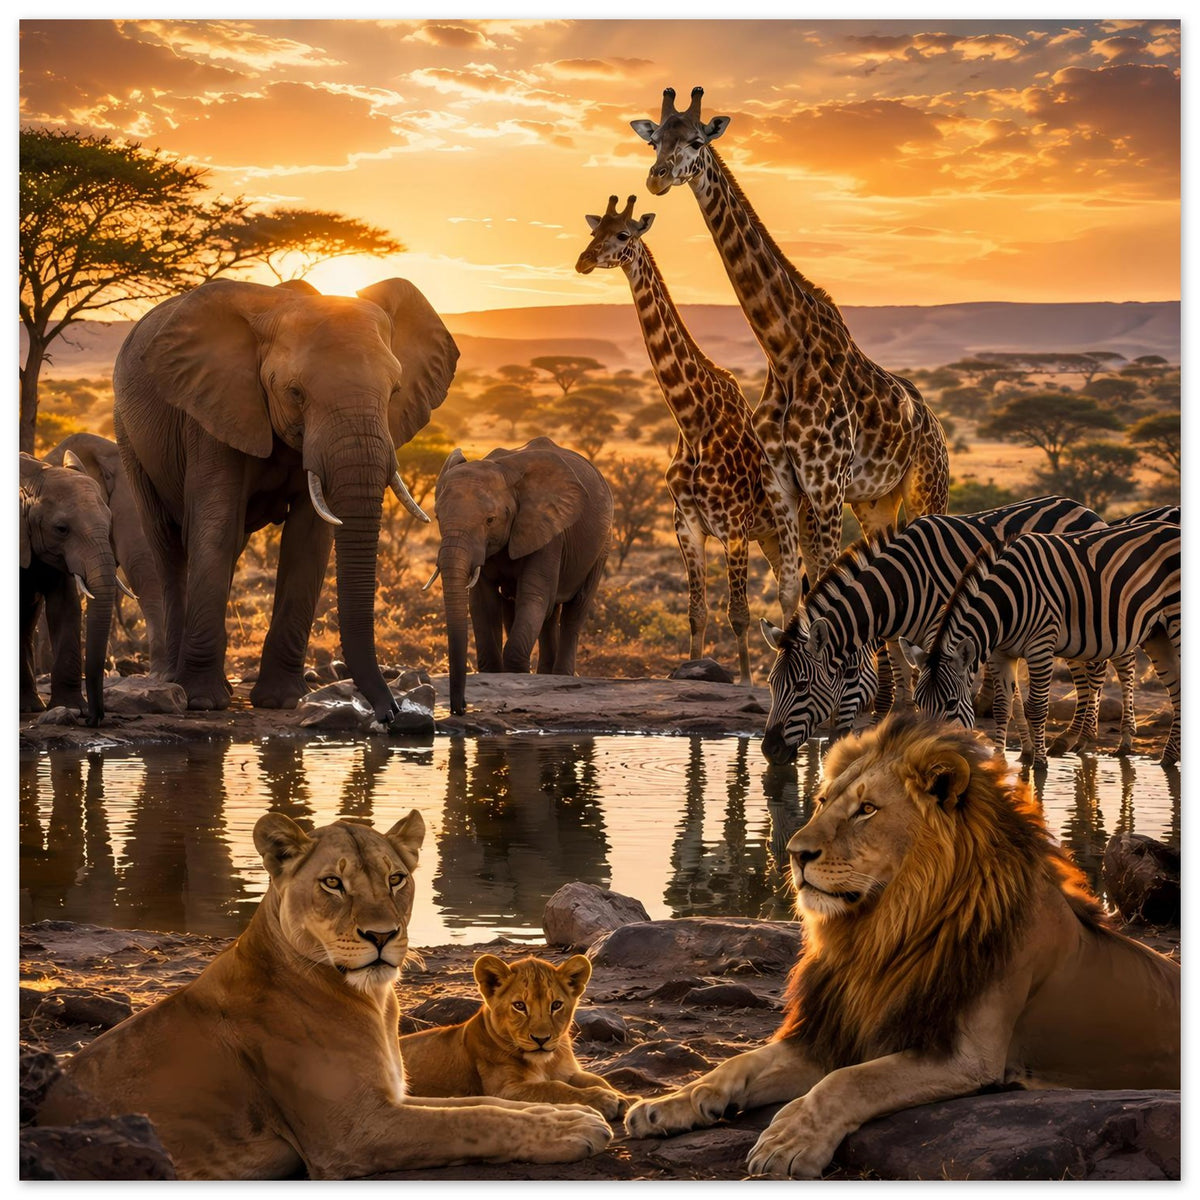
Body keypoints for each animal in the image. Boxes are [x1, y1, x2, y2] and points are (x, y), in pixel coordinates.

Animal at [36, 812, 612, 1180]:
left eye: (396, 879)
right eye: (333, 883)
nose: (381, 936)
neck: (372, 1000)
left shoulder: (390, 1097)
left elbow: (485, 1103)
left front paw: (563, 1112)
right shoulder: (355, 1131)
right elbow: (473, 1121)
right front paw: (573, 1128)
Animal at [399, 953, 637, 1119]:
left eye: (556, 1005)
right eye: (520, 1006)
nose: (541, 1039)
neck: (545, 1063)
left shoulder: (569, 1072)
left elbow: (596, 1079)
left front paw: (625, 1098)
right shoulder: (504, 1091)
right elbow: (554, 1088)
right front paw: (603, 1099)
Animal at [625, 712, 1180, 1178]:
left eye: (866, 810)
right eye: (823, 802)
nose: (794, 853)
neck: (883, 932)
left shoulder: (966, 1056)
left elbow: (849, 1082)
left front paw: (788, 1142)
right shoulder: (840, 1032)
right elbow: (738, 1064)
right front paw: (669, 1105)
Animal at [758, 495, 1105, 763]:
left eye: (802, 686)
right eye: (772, 684)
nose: (769, 750)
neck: (900, 587)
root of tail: (1082, 506)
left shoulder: (942, 633)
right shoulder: (901, 639)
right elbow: (905, 694)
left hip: (1080, 614)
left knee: (1095, 670)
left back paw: (1079, 739)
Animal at [906, 520, 1180, 767]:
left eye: (951, 703)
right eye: (918, 703)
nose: (925, 756)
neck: (1004, 603)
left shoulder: (1040, 646)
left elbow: (1036, 708)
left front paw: (1040, 764)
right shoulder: (1000, 654)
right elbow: (1001, 707)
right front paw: (999, 761)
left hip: (1173, 621)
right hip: (1156, 633)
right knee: (1175, 686)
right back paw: (1169, 758)